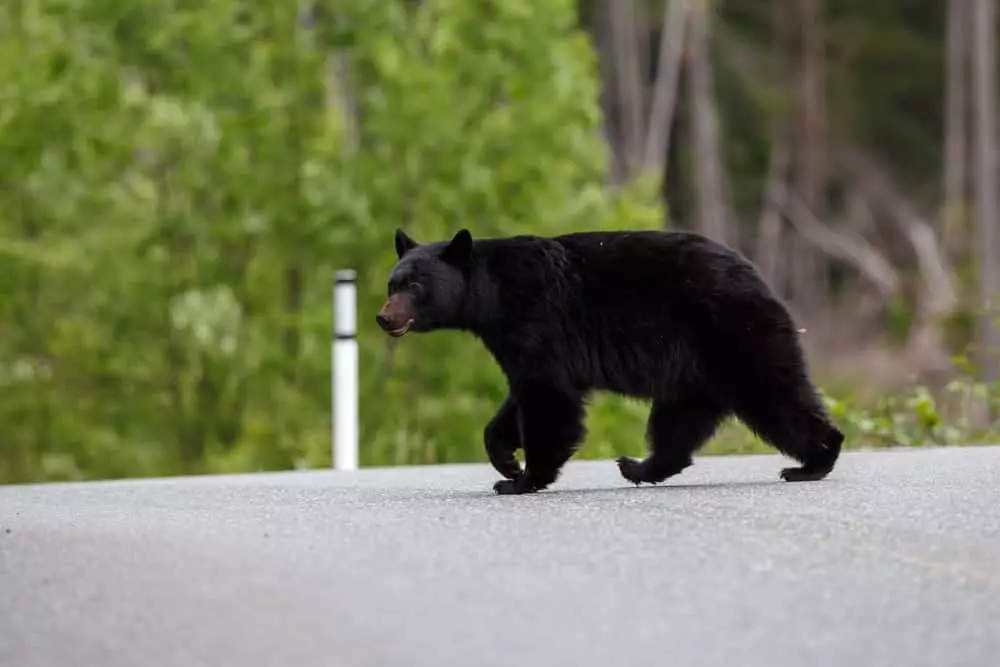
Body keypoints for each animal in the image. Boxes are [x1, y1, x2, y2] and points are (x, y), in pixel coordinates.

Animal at [376, 227, 844, 495]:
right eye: (392, 283)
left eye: (415, 286)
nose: (384, 317)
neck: (492, 297)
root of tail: (759, 276)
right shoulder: (518, 341)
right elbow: (519, 400)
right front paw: (507, 460)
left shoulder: (537, 320)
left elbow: (548, 400)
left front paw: (522, 479)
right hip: (694, 369)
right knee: (678, 423)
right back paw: (639, 467)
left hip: (733, 335)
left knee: (776, 396)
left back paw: (813, 462)